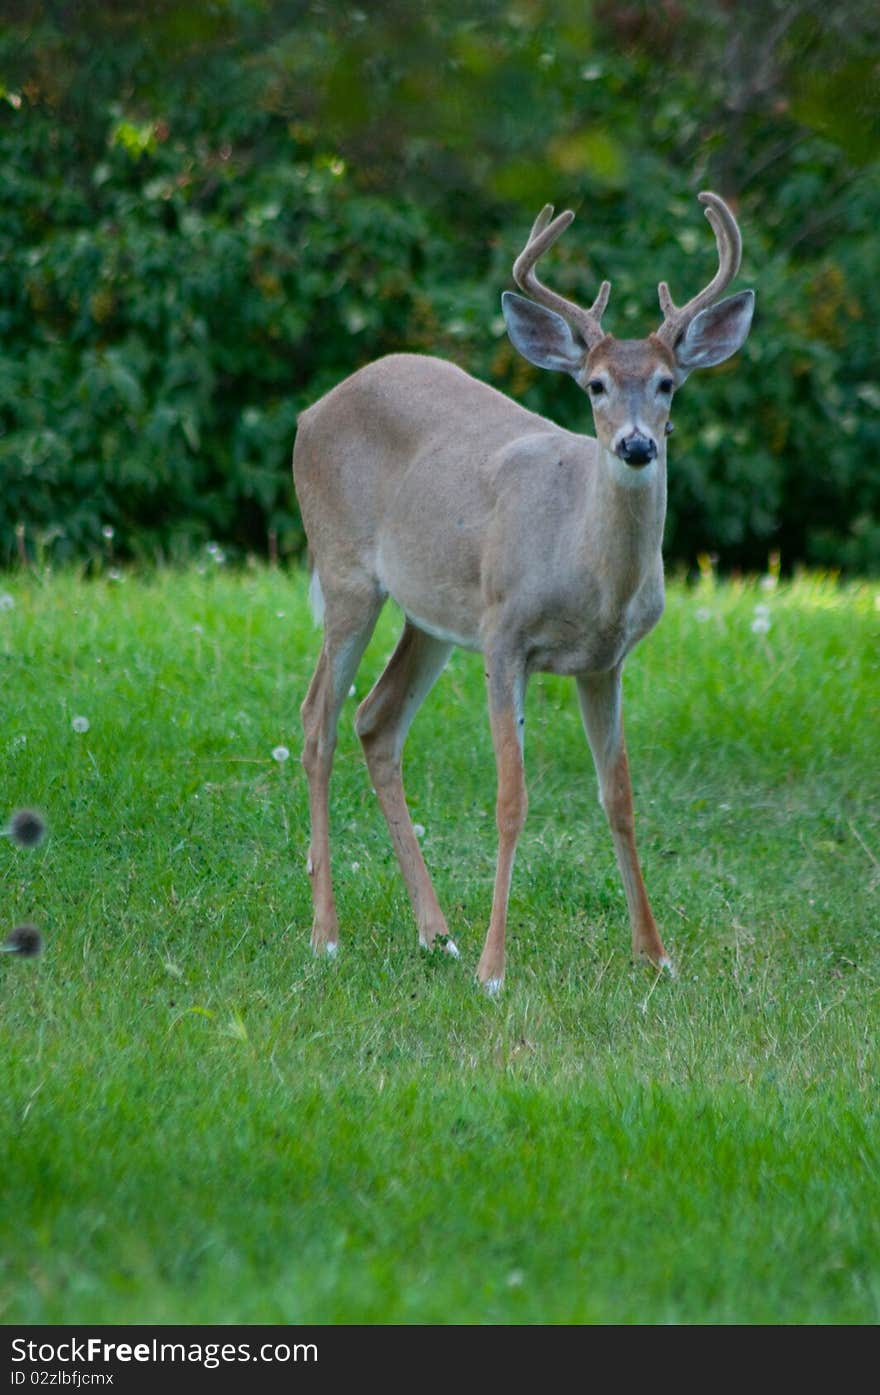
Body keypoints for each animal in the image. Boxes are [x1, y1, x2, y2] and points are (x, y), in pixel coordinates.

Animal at [292, 191, 753, 993]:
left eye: (668, 383)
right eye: (595, 386)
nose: (637, 444)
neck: (588, 570)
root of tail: (309, 412)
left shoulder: (604, 663)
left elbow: (620, 798)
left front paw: (656, 955)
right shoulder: (505, 637)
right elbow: (512, 797)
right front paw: (494, 969)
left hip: (434, 615)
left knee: (377, 720)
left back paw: (436, 932)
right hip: (348, 571)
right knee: (319, 717)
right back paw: (328, 933)